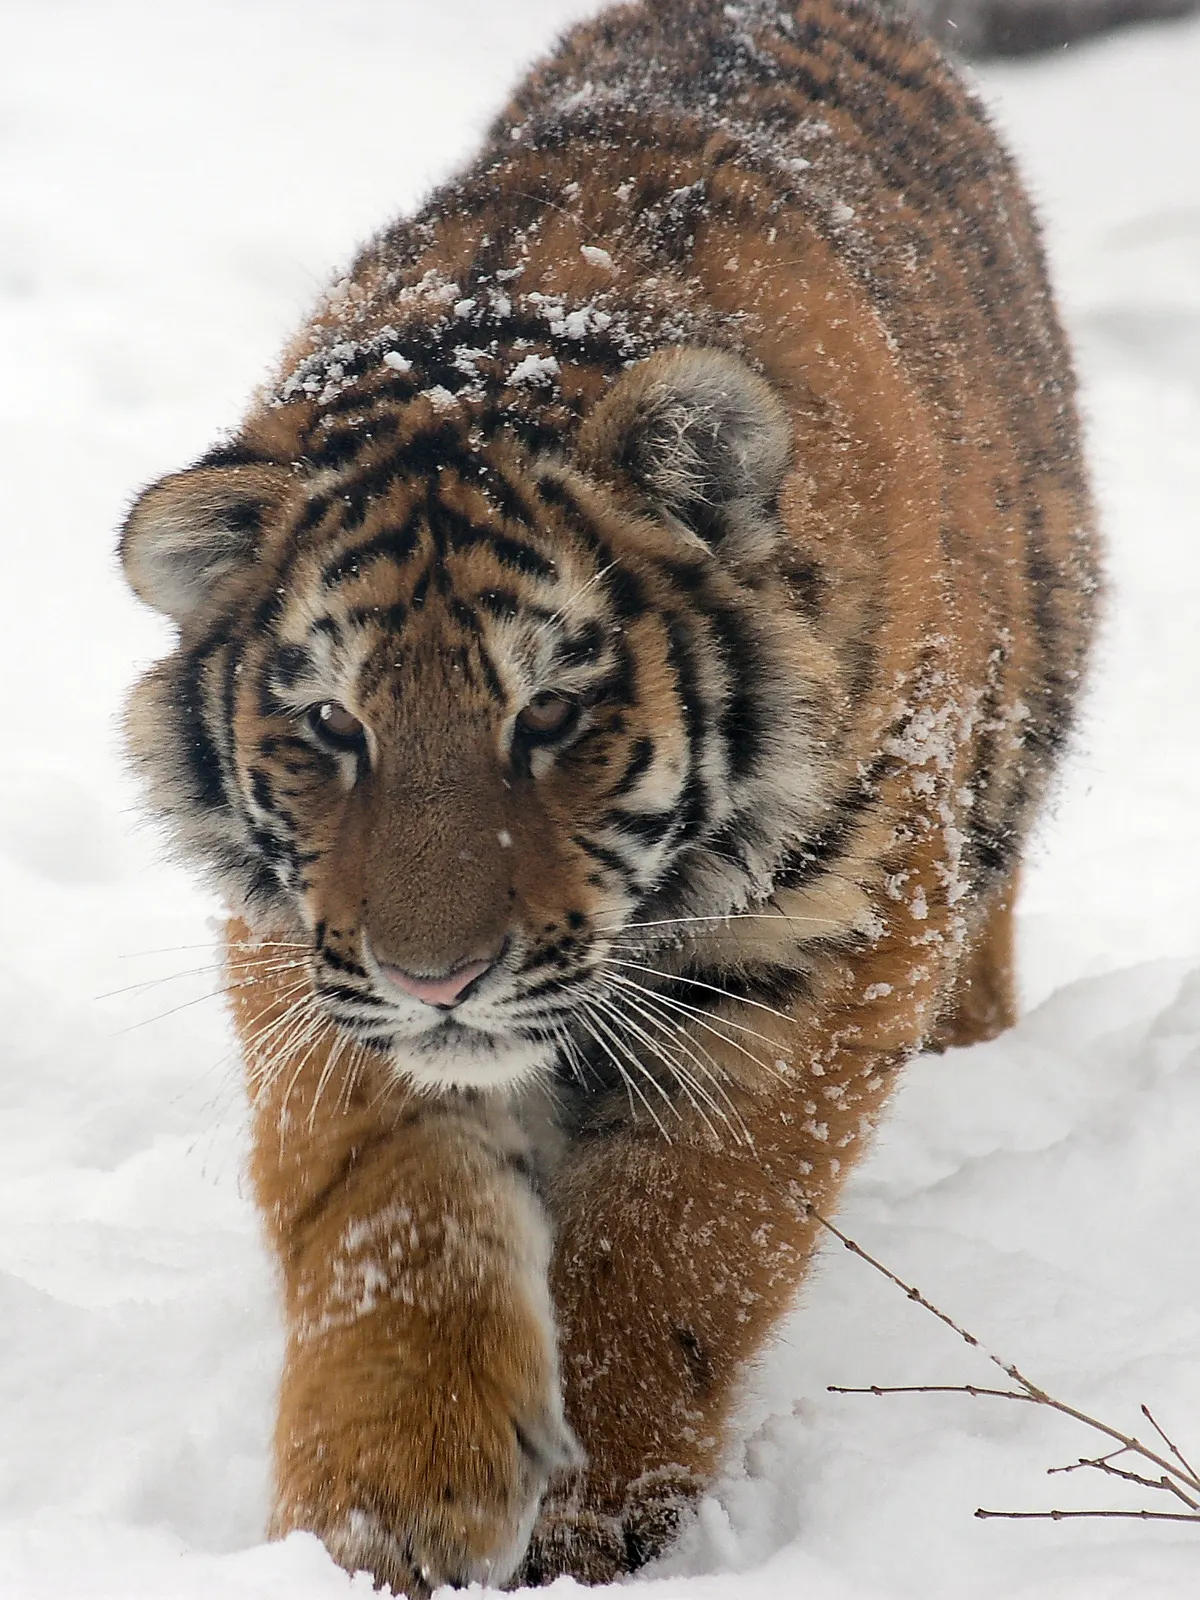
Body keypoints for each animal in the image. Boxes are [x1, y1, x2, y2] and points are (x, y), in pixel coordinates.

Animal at [118, 0, 1099, 1590]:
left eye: (552, 714)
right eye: (331, 725)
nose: (438, 977)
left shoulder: (834, 936)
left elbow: (676, 1244)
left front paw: (594, 1523)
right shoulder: (316, 962)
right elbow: (391, 1221)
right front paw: (383, 1512)